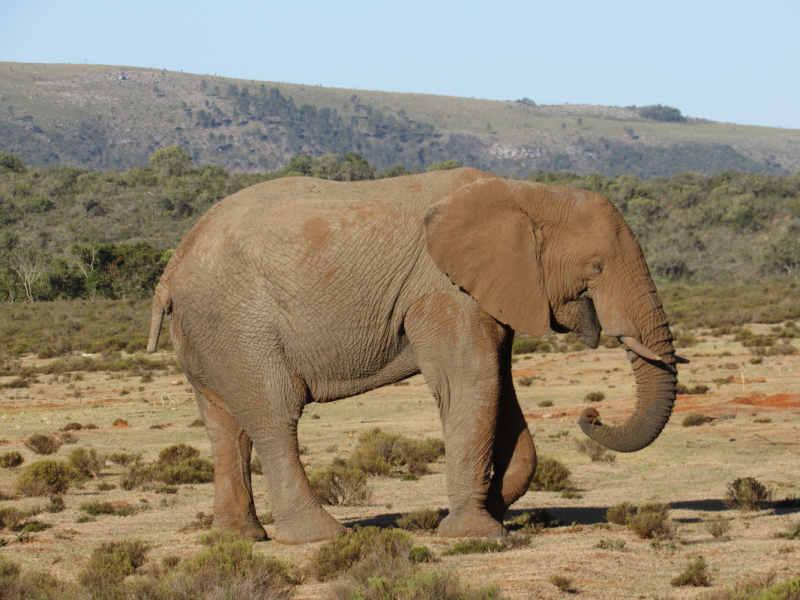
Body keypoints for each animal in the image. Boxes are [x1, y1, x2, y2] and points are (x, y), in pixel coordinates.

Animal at [145, 168, 680, 544]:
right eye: (597, 267)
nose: (592, 414)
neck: (525, 194)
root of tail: (171, 269)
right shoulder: (443, 291)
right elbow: (472, 383)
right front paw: (475, 533)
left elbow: (500, 393)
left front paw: (491, 507)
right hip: (238, 323)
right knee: (275, 415)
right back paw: (322, 537)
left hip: (208, 333)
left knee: (225, 427)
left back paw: (239, 539)